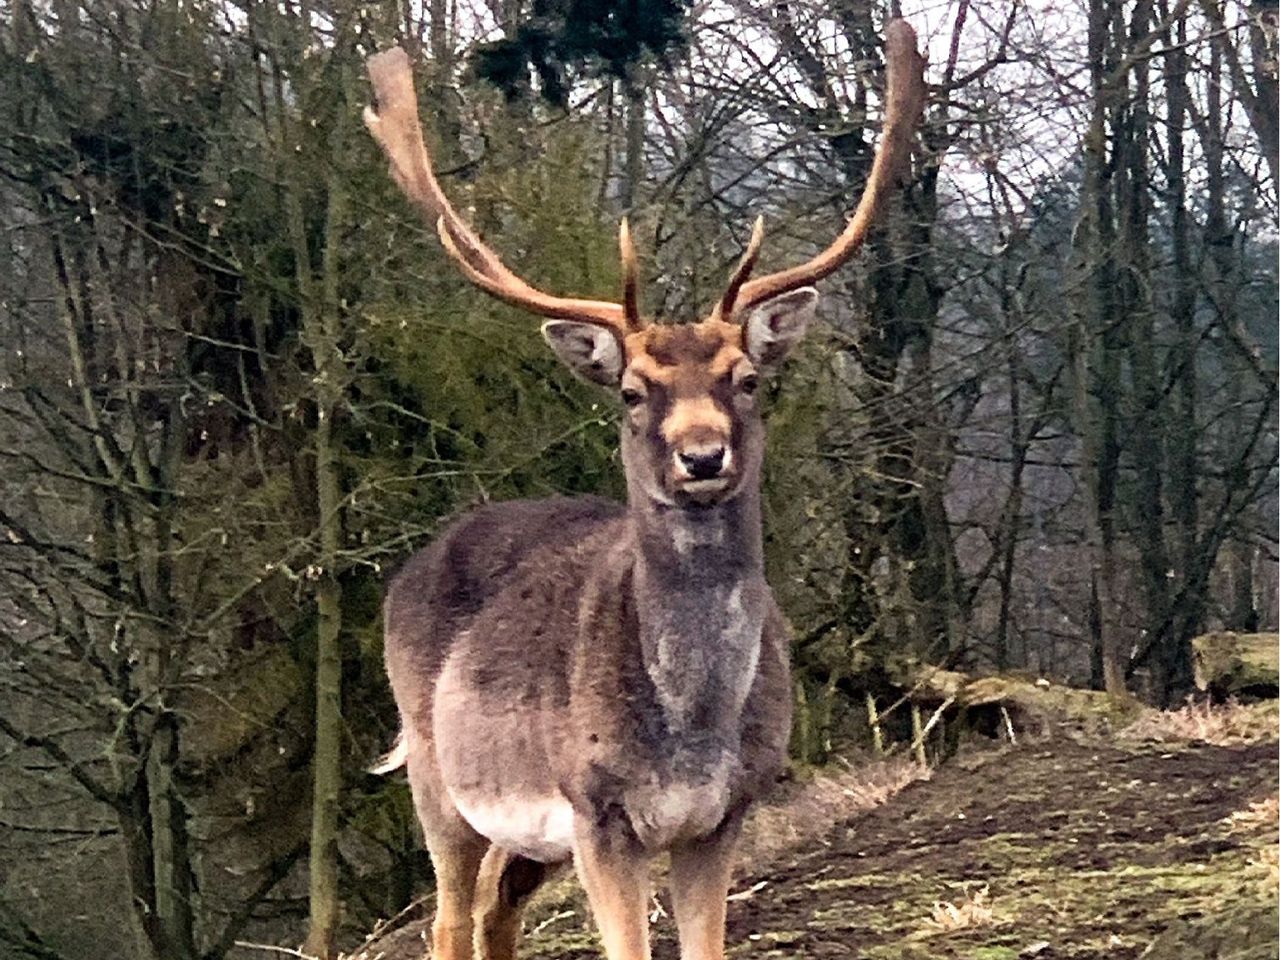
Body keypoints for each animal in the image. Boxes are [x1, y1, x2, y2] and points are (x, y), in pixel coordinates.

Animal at [366, 20, 926, 960]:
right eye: (632, 391)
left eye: (747, 379)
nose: (702, 455)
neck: (689, 732)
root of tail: (410, 568)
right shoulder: (598, 808)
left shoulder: (727, 810)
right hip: (440, 776)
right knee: (448, 919)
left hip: (526, 835)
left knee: (494, 909)